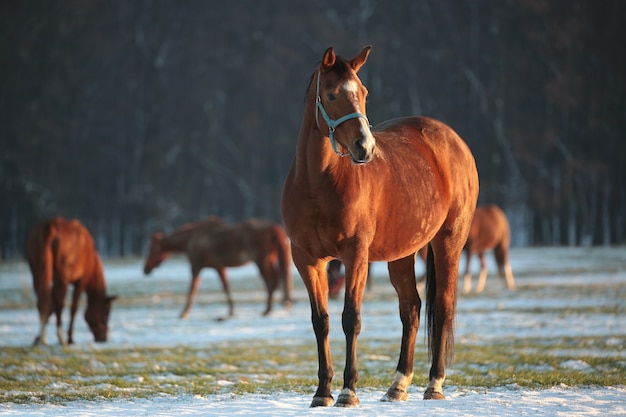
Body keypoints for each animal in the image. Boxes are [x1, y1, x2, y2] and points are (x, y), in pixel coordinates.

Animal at [144, 216, 292, 316]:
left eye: (152, 249)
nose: (145, 269)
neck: (190, 239)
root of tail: (274, 227)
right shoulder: (219, 267)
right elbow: (226, 287)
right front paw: (230, 311)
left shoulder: (196, 265)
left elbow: (192, 288)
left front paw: (184, 312)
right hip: (270, 259)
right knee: (277, 278)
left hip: (261, 261)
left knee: (271, 281)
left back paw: (267, 309)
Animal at [280, 46, 478, 406]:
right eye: (331, 94)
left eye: (363, 93)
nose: (365, 147)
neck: (318, 184)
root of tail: (452, 140)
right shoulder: (306, 260)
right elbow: (321, 321)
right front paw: (322, 392)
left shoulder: (355, 255)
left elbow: (350, 319)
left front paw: (348, 392)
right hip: (402, 254)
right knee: (411, 309)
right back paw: (398, 385)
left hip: (449, 242)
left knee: (442, 307)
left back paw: (434, 384)